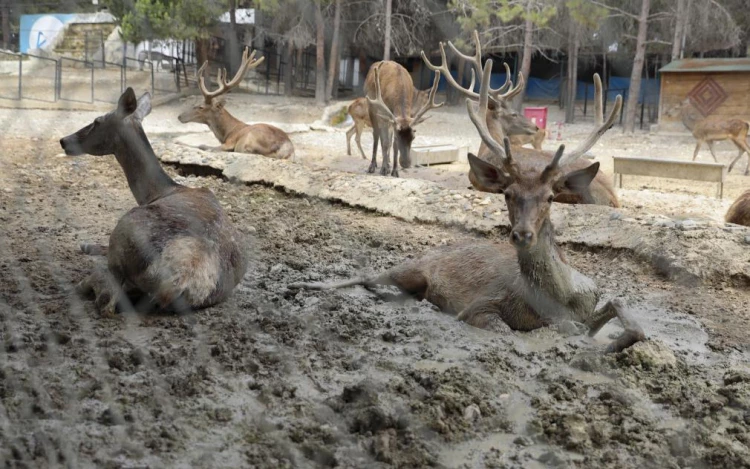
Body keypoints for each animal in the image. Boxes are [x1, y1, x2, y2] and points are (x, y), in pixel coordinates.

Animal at [59, 88, 249, 315]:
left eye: (97, 121)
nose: (63, 140)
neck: (159, 191)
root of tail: (177, 283)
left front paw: (86, 245)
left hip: (123, 236)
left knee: (107, 299)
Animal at [288, 60, 644, 354]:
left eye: (549, 197)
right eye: (507, 194)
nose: (522, 235)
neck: (559, 301)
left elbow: (623, 313)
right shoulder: (482, 304)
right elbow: (506, 328)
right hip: (410, 268)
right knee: (369, 277)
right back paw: (303, 283)